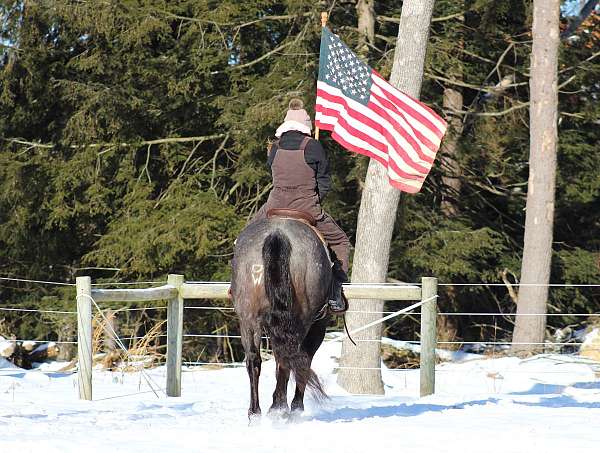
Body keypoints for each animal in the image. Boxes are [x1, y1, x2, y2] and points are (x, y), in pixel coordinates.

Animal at [231, 214, 332, 418]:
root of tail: (277, 235)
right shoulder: (318, 326)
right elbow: (304, 360)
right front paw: (295, 406)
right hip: (303, 320)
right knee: (290, 358)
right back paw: (280, 408)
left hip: (249, 319)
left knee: (254, 359)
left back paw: (256, 412)